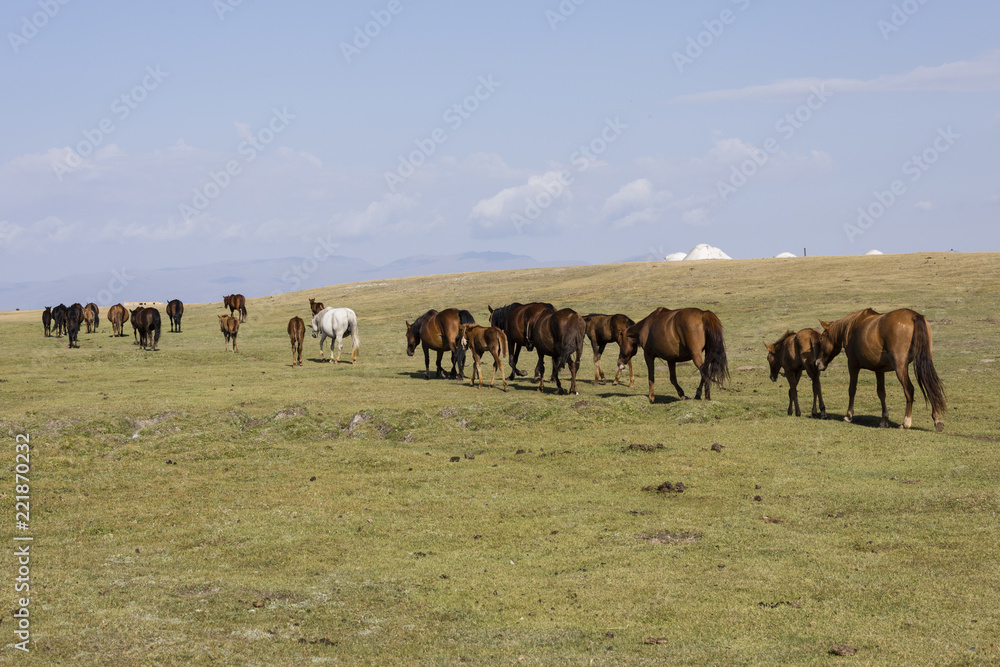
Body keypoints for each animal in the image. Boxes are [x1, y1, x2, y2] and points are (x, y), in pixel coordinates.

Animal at [812, 310, 944, 430]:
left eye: (821, 338)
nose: (817, 363)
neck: (852, 327)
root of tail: (914, 315)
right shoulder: (879, 370)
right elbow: (881, 393)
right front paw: (884, 420)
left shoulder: (853, 365)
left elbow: (852, 390)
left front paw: (848, 416)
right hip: (924, 362)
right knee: (930, 385)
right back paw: (937, 419)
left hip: (900, 367)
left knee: (909, 390)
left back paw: (906, 422)